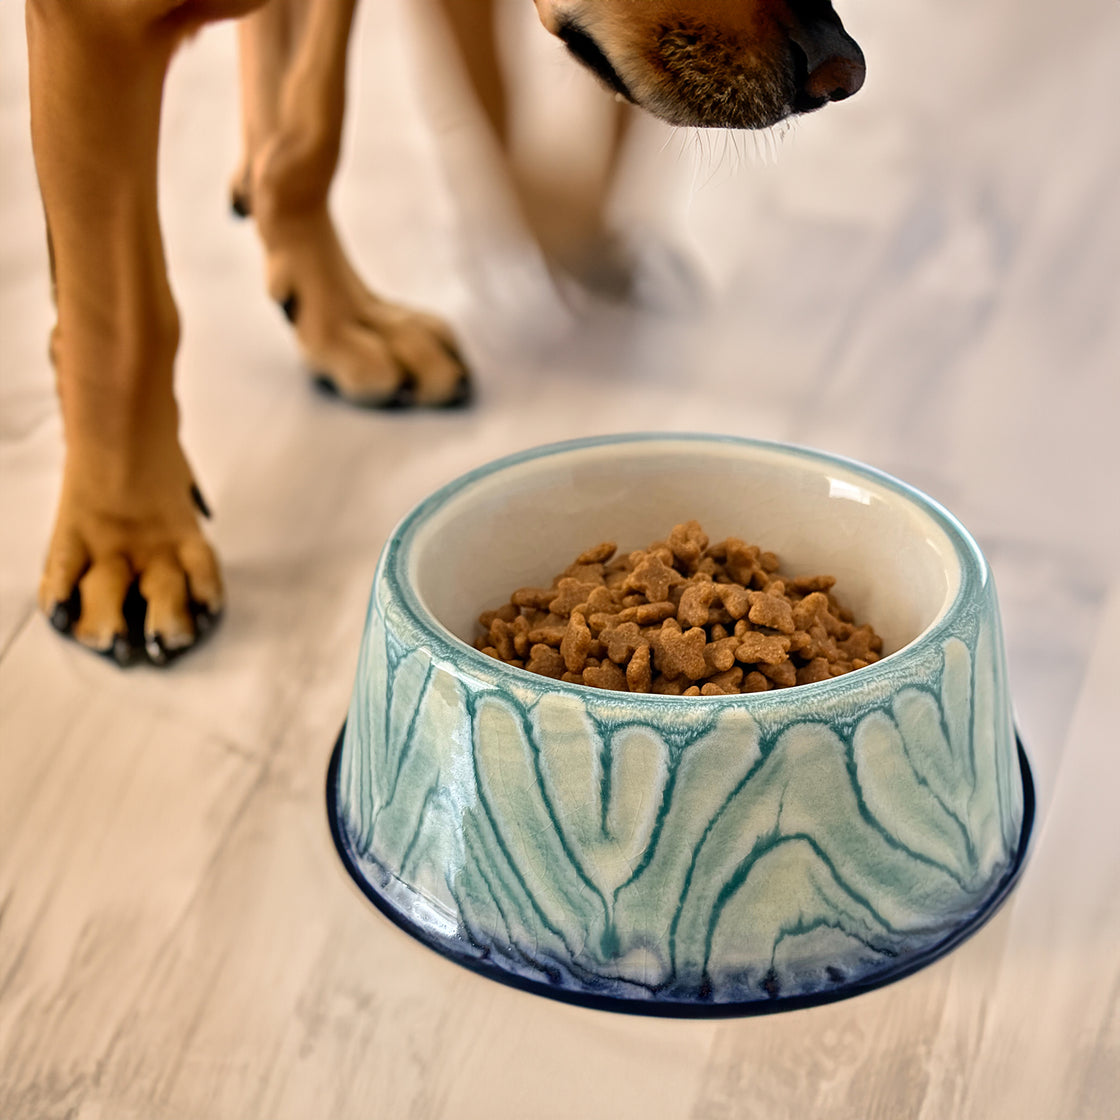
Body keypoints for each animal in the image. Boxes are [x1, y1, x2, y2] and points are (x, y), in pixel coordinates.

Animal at [24, 0, 864, 663]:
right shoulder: (90, 32)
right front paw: (131, 542)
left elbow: (314, 129)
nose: (841, 70)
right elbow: (124, 320)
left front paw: (340, 315)